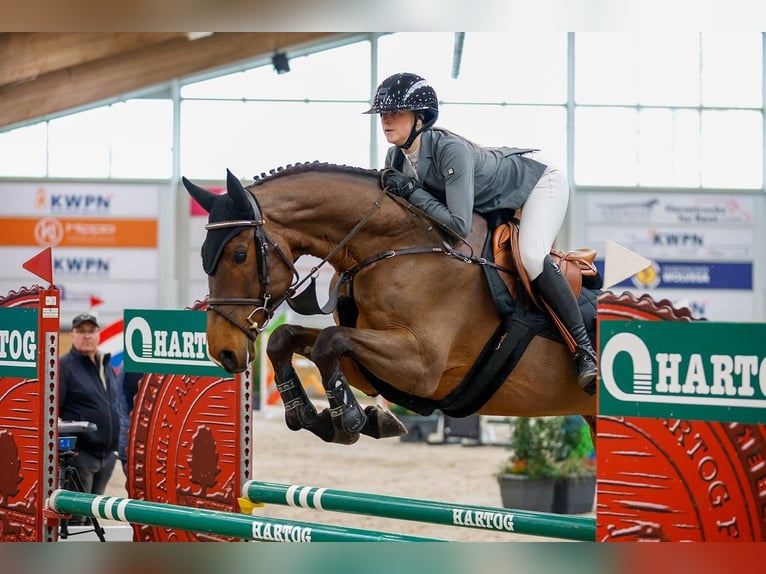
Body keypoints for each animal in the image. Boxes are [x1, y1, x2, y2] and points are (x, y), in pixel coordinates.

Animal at [183, 164, 597, 445]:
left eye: (238, 255)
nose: (223, 351)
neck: (394, 247)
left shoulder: (422, 365)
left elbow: (329, 341)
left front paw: (350, 418)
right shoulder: (371, 356)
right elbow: (288, 338)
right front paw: (317, 415)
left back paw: (588, 366)